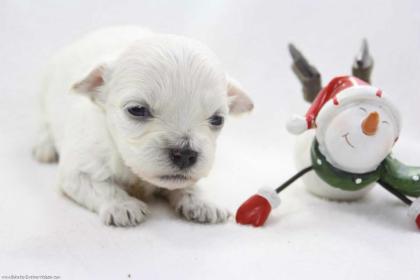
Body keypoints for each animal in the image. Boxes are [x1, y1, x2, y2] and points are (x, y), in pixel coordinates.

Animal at [33, 26, 253, 226]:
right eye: (137, 110)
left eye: (217, 119)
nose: (185, 155)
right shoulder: (77, 170)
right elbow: (104, 187)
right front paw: (122, 206)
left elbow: (189, 184)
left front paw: (203, 202)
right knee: (42, 124)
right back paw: (44, 147)